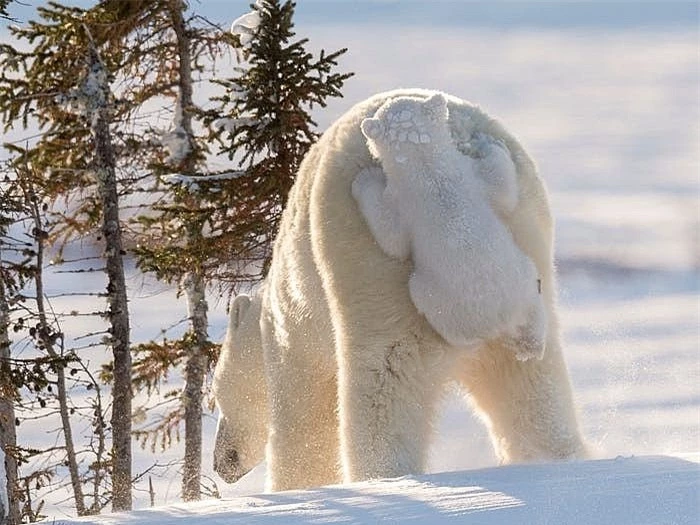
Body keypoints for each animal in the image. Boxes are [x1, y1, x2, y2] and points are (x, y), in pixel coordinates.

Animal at [212, 88, 584, 494]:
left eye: (214, 395)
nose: (222, 463)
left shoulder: (294, 333)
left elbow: (305, 422)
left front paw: (296, 487)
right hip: (527, 242)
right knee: (531, 384)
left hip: (367, 267)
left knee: (384, 382)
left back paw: (383, 477)